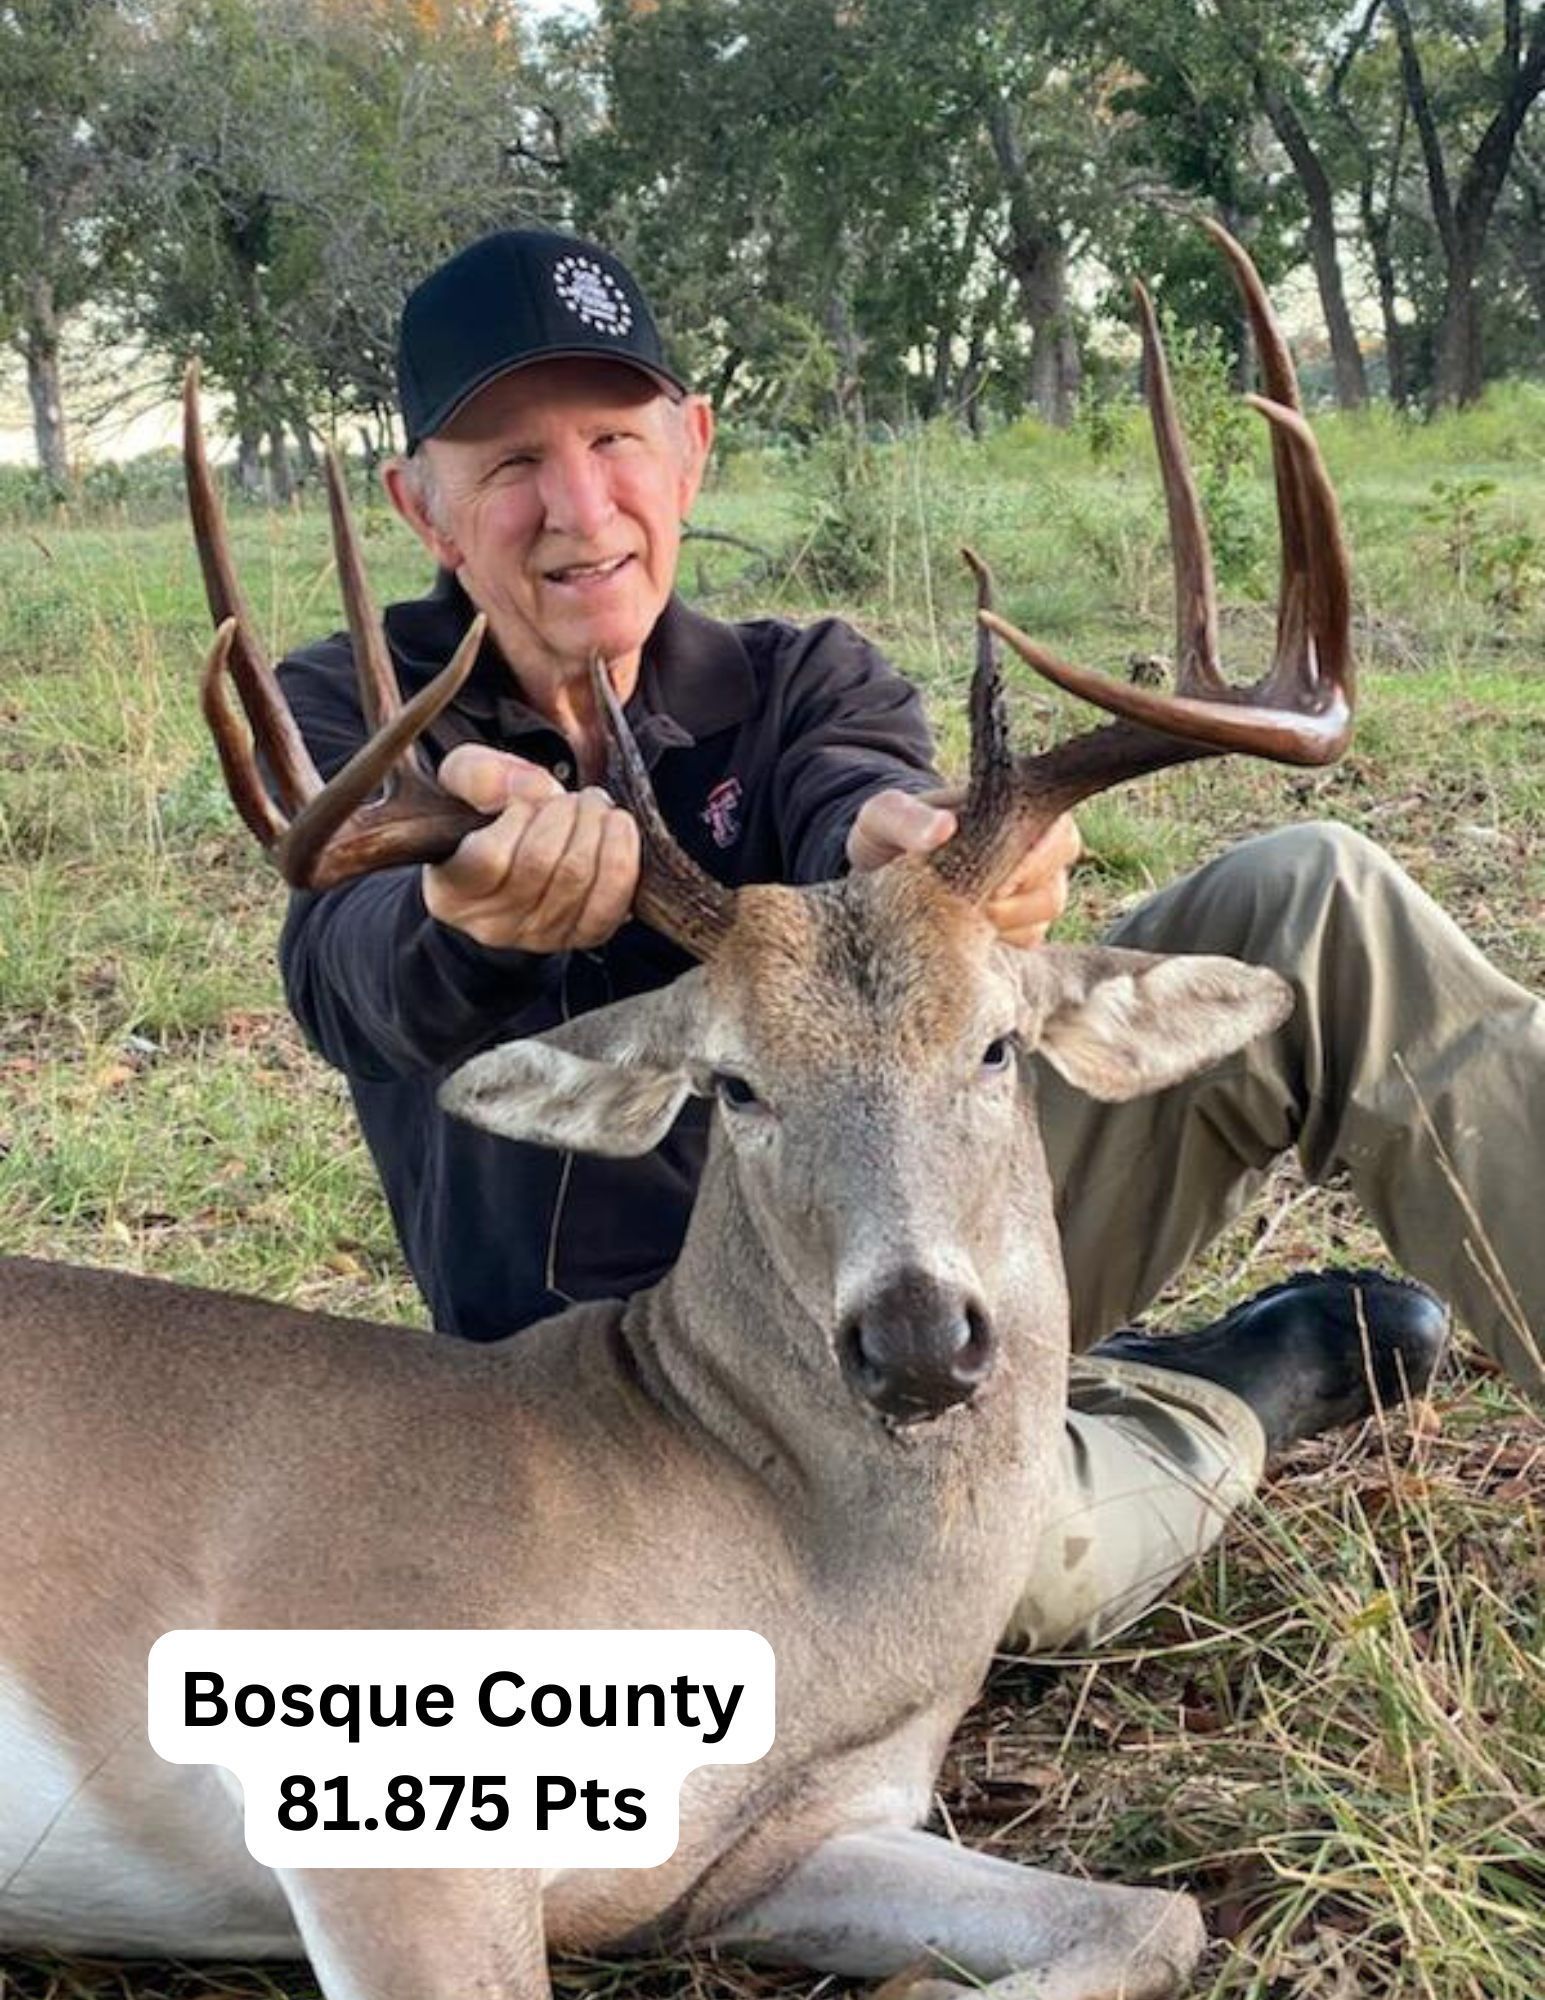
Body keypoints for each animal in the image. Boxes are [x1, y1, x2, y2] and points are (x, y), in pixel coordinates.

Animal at [0, 225, 1351, 2000]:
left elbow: (1154, 1916)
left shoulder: (768, 1848)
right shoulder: (375, 1810)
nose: (917, 1337)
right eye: (734, 1084)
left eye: (998, 1047)